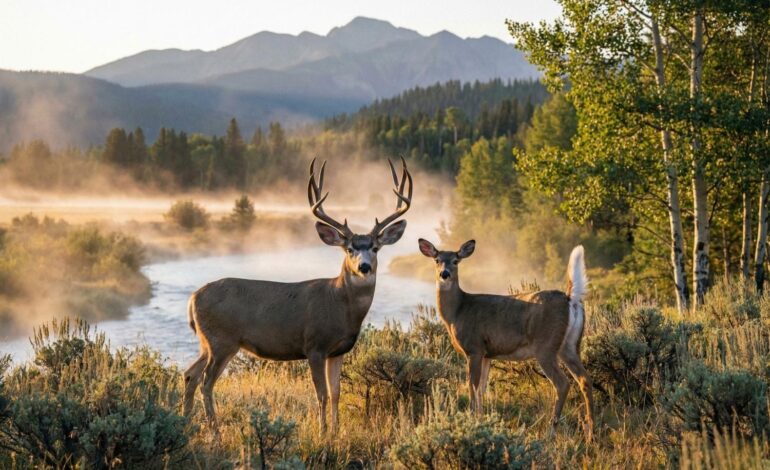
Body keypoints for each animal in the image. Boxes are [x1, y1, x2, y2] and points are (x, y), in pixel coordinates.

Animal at [183, 157, 412, 433]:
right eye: (349, 249)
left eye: (376, 248)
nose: (364, 267)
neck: (340, 305)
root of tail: (193, 298)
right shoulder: (314, 345)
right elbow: (321, 394)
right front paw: (323, 432)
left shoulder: (338, 351)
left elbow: (336, 393)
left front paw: (335, 432)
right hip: (222, 341)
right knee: (206, 381)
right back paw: (214, 431)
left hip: (207, 342)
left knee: (189, 374)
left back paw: (184, 423)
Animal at [417, 239, 594, 441]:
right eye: (437, 260)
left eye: (455, 260)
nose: (444, 274)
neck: (457, 312)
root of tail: (570, 299)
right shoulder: (487, 353)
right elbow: (481, 389)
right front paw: (480, 421)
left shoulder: (474, 348)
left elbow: (472, 386)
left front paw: (471, 421)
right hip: (570, 345)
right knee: (585, 379)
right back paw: (591, 434)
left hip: (546, 346)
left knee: (562, 383)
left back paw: (551, 433)